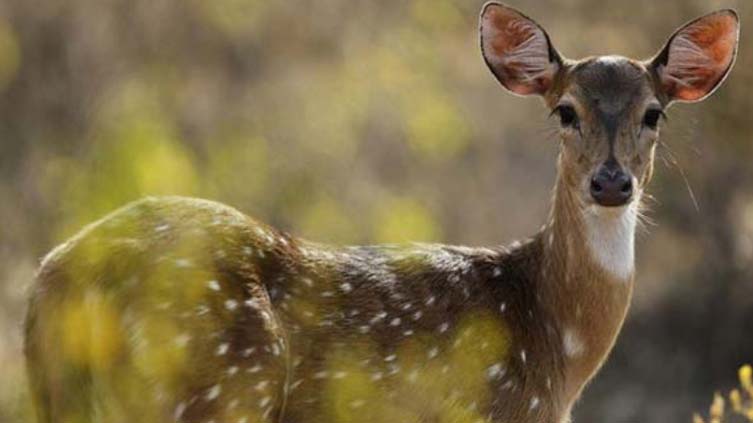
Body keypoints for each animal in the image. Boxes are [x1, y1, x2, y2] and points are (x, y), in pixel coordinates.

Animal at [25, 3, 740, 423]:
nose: (612, 182)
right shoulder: (499, 410)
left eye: (655, 113)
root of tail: (55, 281)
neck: (554, 347)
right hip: (220, 387)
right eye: (565, 110)